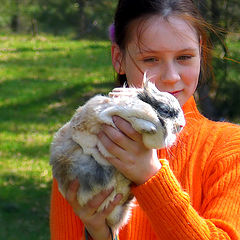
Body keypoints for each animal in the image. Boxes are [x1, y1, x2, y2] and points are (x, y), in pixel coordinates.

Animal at [49, 72, 186, 232]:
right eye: (165, 110)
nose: (182, 125)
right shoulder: (108, 113)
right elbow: (125, 118)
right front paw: (149, 127)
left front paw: (150, 129)